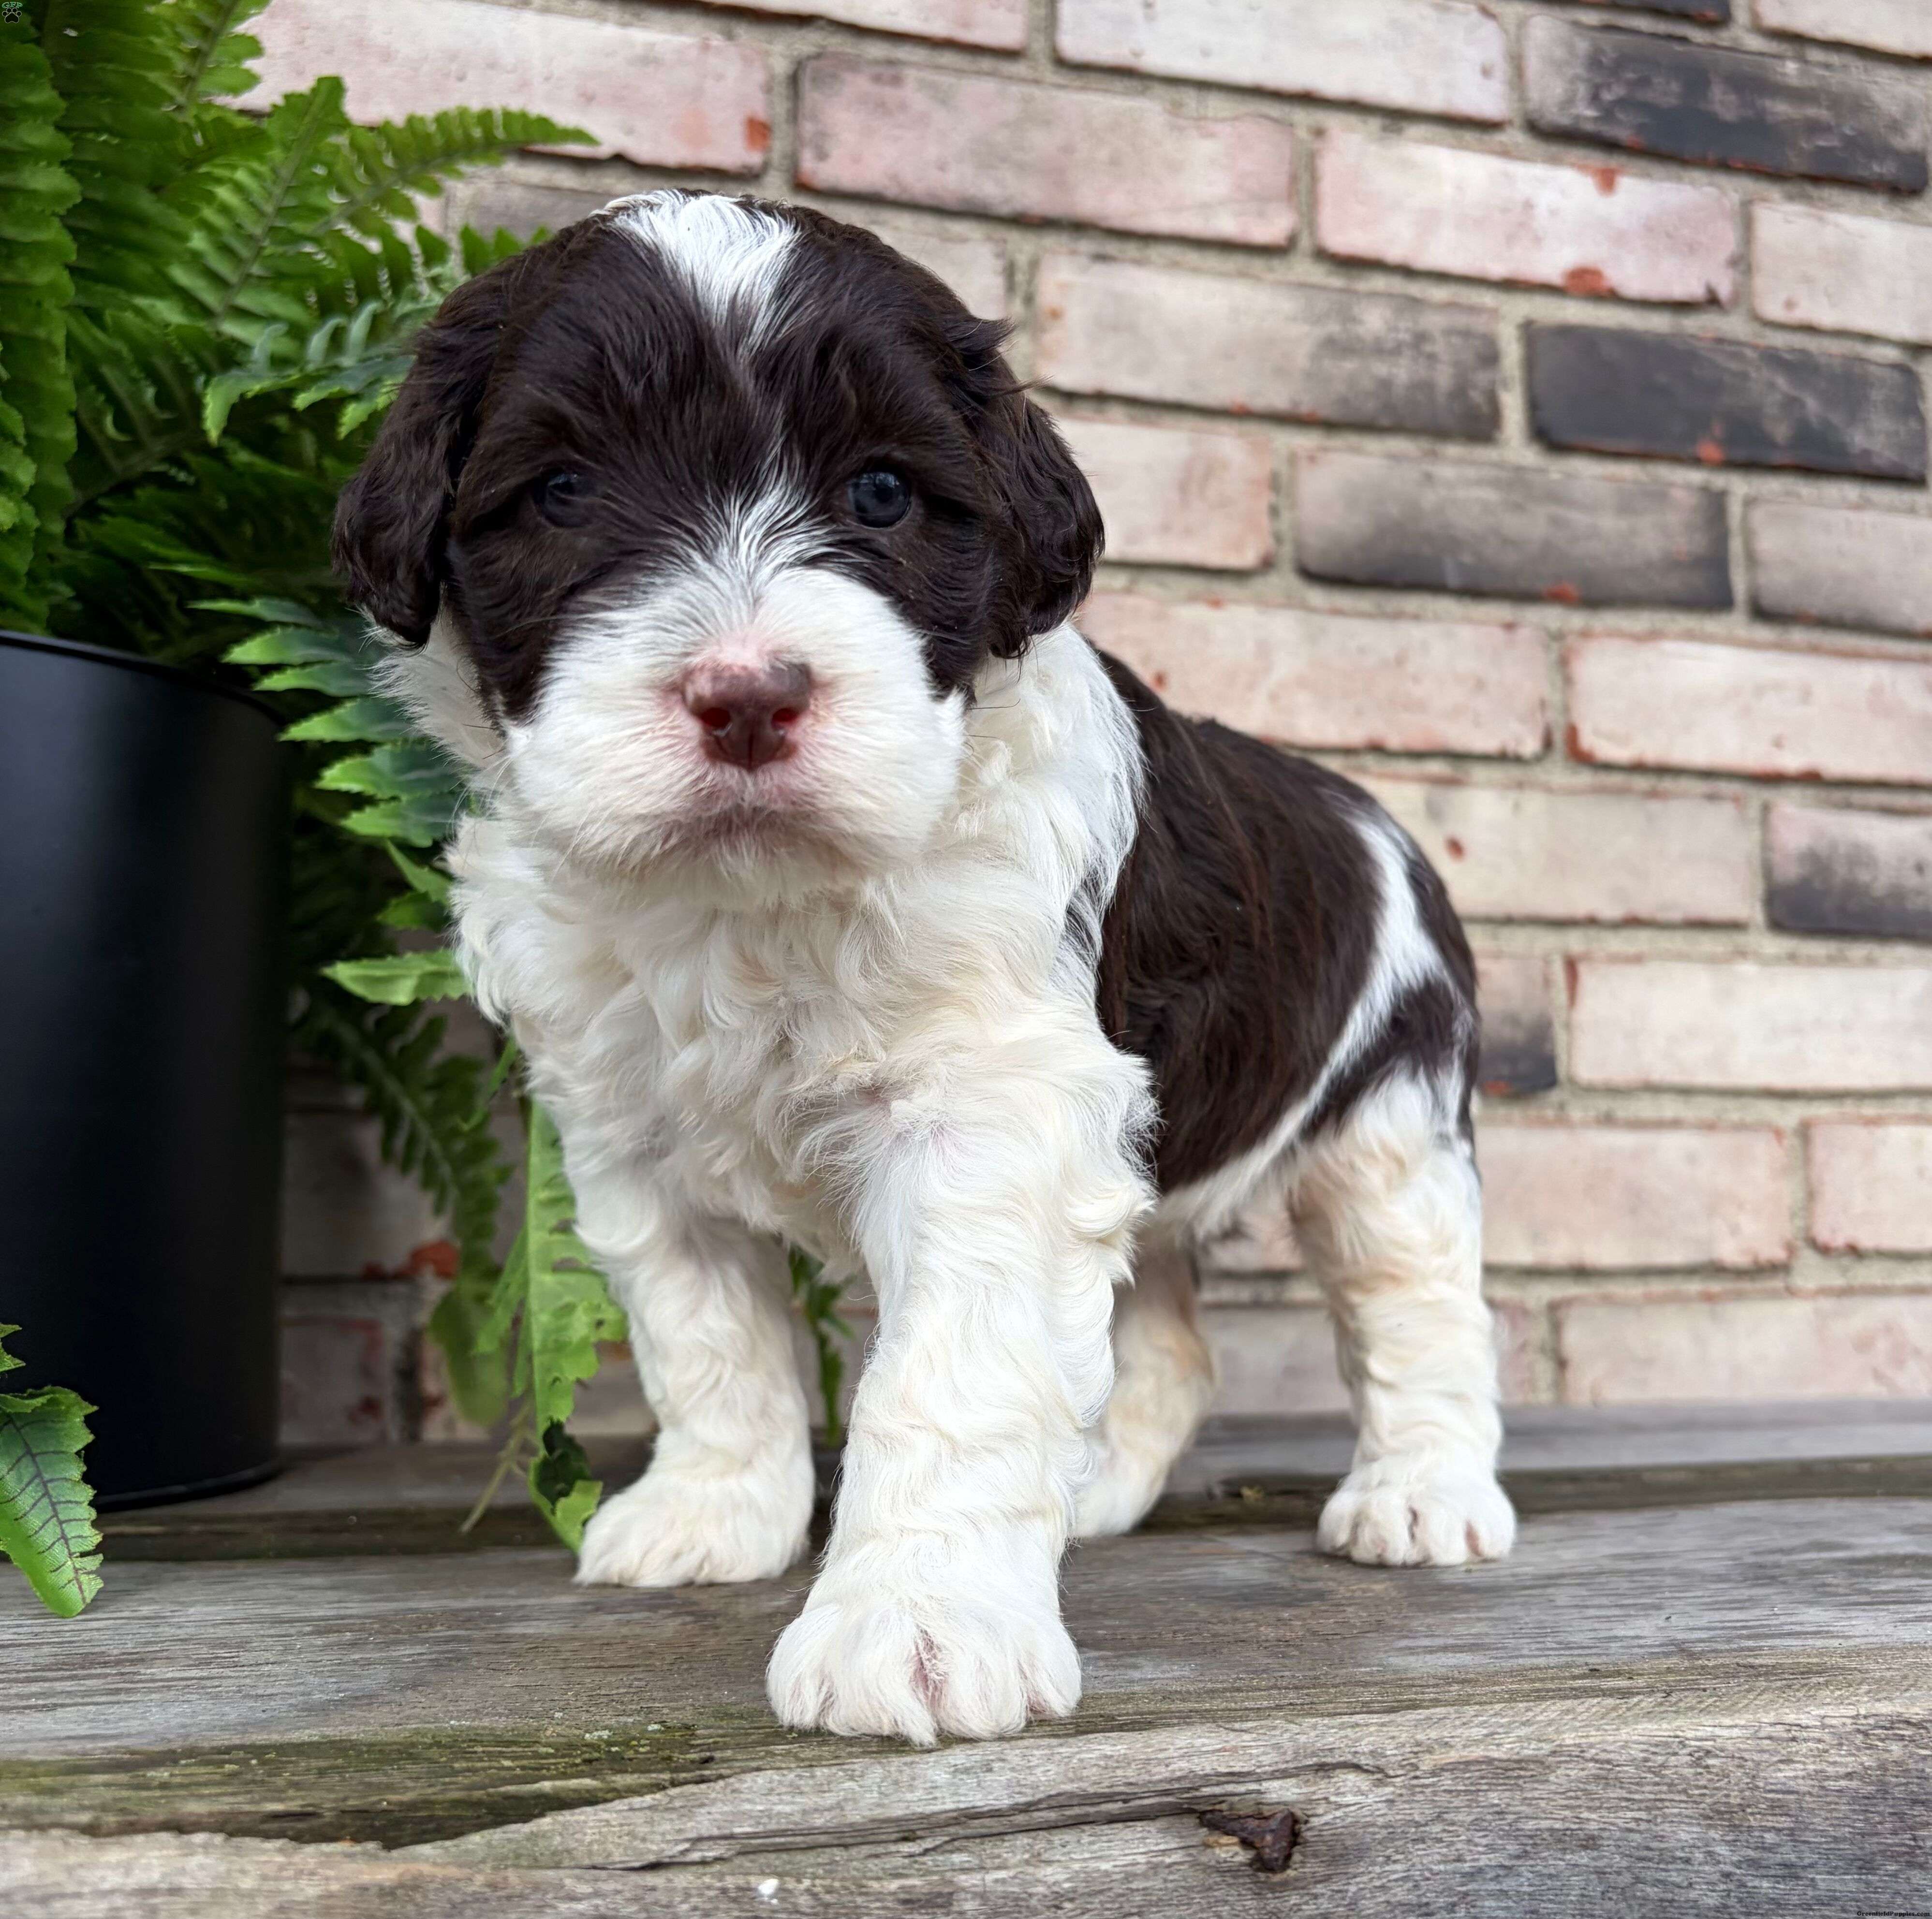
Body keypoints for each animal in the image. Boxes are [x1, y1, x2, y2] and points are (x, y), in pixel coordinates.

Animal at [334, 189, 1514, 1746]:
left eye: (883, 495)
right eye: (564, 493)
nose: (746, 696)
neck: (750, 897)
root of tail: (1375, 819)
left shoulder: (991, 1117)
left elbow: (952, 1382)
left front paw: (920, 1627)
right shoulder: (630, 1136)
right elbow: (705, 1338)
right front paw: (716, 1515)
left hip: (1388, 1126)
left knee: (1416, 1304)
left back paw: (1423, 1493)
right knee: (1169, 1340)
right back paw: (1100, 1487)